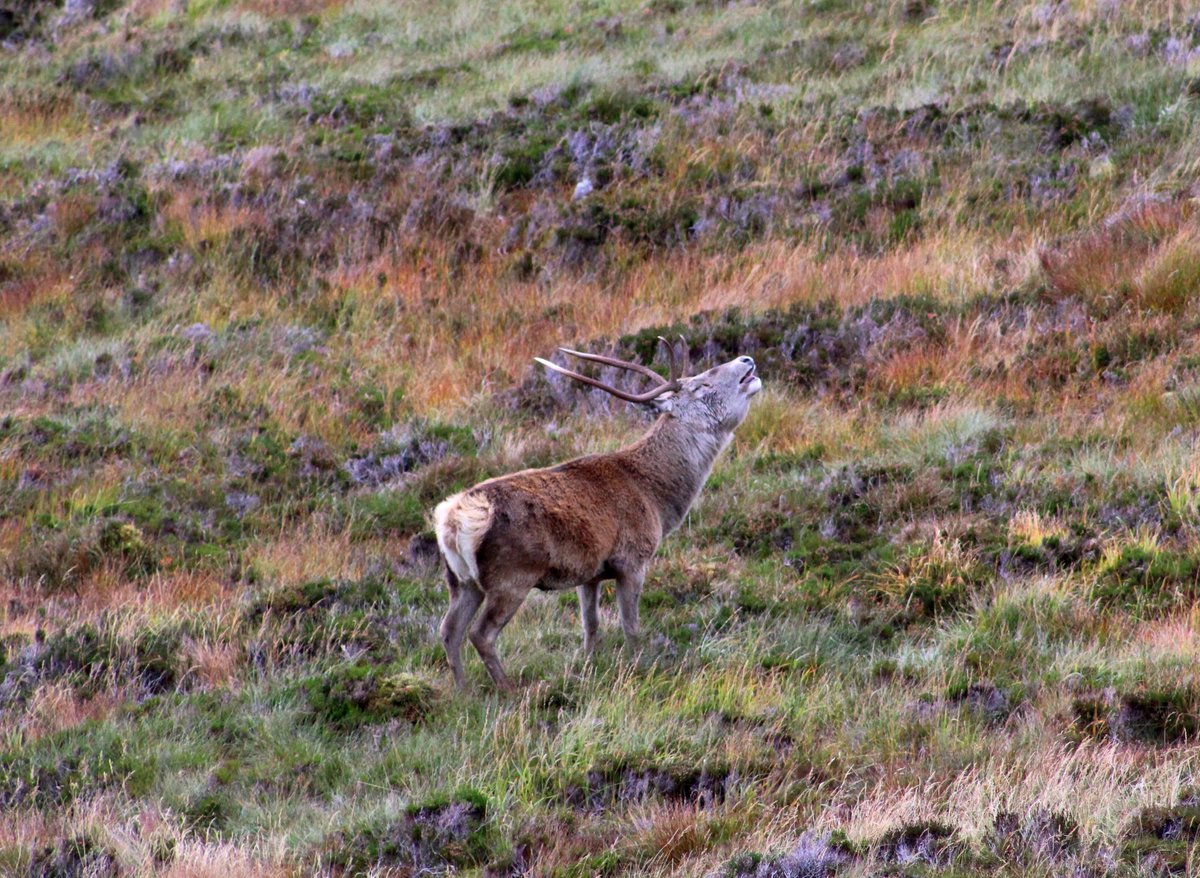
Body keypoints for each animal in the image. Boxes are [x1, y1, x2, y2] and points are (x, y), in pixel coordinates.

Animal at [433, 340, 762, 691]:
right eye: (701, 386)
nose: (746, 360)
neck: (656, 499)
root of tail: (451, 520)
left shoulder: (588, 572)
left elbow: (590, 626)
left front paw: (589, 666)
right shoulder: (632, 559)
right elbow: (631, 626)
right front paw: (639, 667)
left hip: (461, 580)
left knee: (449, 630)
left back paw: (464, 692)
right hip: (511, 575)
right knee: (480, 634)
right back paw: (509, 691)